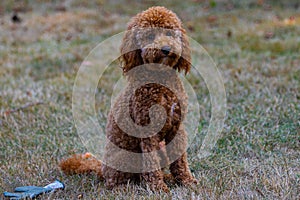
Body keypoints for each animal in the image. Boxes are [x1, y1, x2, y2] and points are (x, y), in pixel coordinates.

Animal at [59, 6, 198, 192]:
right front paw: (158, 188)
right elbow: (151, 163)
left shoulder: (177, 127)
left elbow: (180, 160)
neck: (160, 81)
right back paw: (124, 188)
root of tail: (102, 167)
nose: (166, 48)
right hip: (126, 157)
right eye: (150, 35)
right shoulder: (147, 132)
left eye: (169, 32)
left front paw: (186, 181)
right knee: (116, 180)